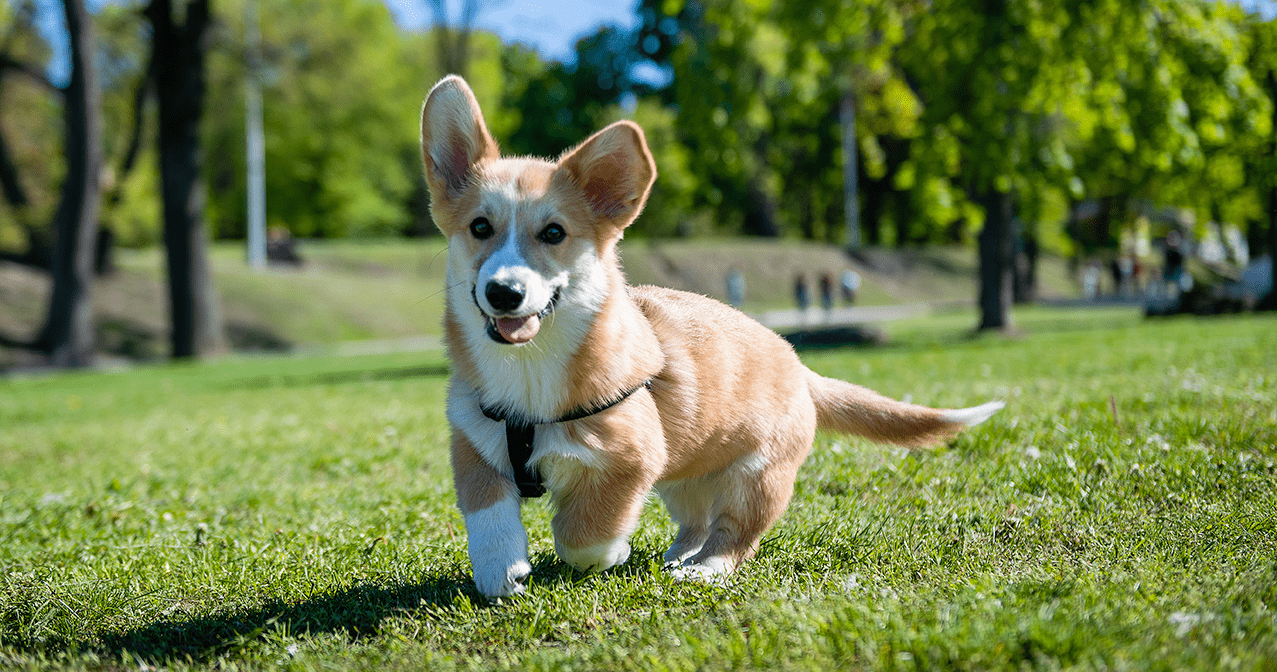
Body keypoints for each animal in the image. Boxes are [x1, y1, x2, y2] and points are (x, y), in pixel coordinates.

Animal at [423, 76, 1001, 597]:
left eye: (553, 233)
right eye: (479, 227)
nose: (503, 293)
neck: (530, 372)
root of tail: (801, 368)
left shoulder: (633, 462)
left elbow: (583, 533)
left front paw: (608, 553)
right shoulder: (473, 448)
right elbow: (489, 519)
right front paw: (502, 573)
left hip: (757, 480)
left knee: (733, 537)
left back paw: (703, 570)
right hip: (683, 479)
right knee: (696, 523)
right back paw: (678, 557)